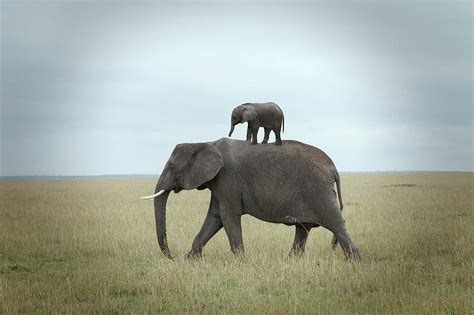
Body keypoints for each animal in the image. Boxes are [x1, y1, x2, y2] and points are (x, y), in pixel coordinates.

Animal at [141, 139, 360, 260]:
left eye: (172, 166)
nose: (173, 257)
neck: (203, 142)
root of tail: (333, 168)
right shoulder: (218, 183)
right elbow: (215, 217)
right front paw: (190, 259)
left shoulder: (227, 178)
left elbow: (227, 216)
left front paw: (242, 262)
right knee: (303, 228)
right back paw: (291, 261)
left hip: (318, 190)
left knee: (336, 224)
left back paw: (354, 261)